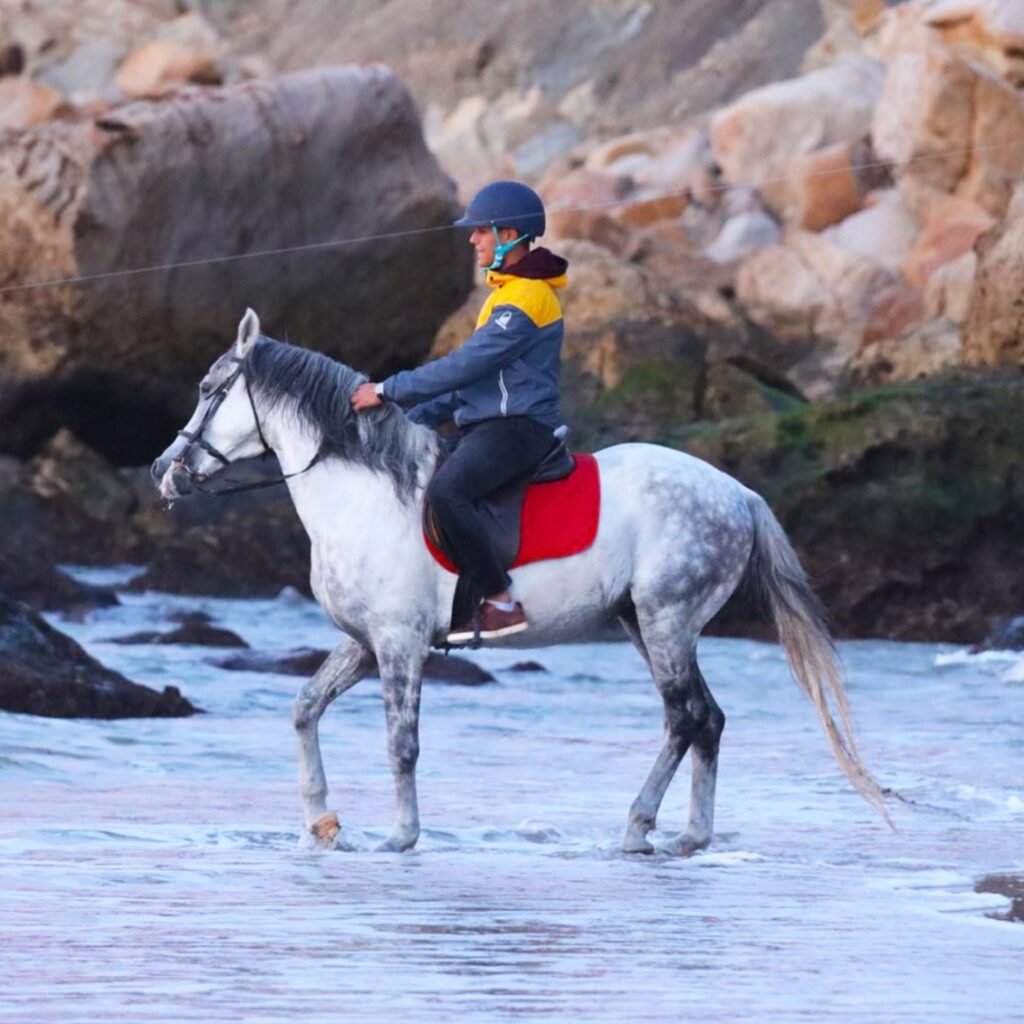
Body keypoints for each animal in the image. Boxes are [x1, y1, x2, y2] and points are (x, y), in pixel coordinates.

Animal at [152, 309, 888, 854]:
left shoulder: (399, 644)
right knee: (706, 719)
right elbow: (305, 709)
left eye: (210, 390)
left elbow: (401, 744)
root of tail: (739, 493)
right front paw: (321, 825)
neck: (364, 493)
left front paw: (399, 837)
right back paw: (690, 837)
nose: (165, 471)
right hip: (645, 623)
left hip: (668, 620)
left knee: (683, 718)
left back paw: (636, 830)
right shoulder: (364, 642)